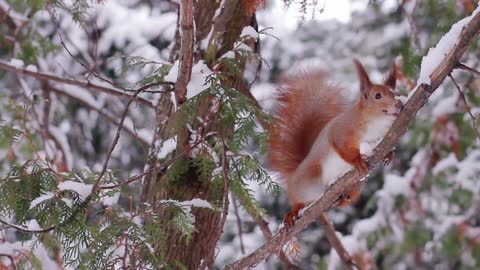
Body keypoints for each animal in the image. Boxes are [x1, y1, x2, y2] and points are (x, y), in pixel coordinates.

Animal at [268, 59, 404, 228]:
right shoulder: (340, 133)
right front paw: (357, 160)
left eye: (396, 92)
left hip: (357, 185)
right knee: (298, 198)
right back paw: (294, 210)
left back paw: (344, 198)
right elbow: (343, 148)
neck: (376, 123)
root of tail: (295, 173)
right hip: (310, 180)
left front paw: (389, 155)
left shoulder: (384, 136)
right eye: (377, 95)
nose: (398, 104)